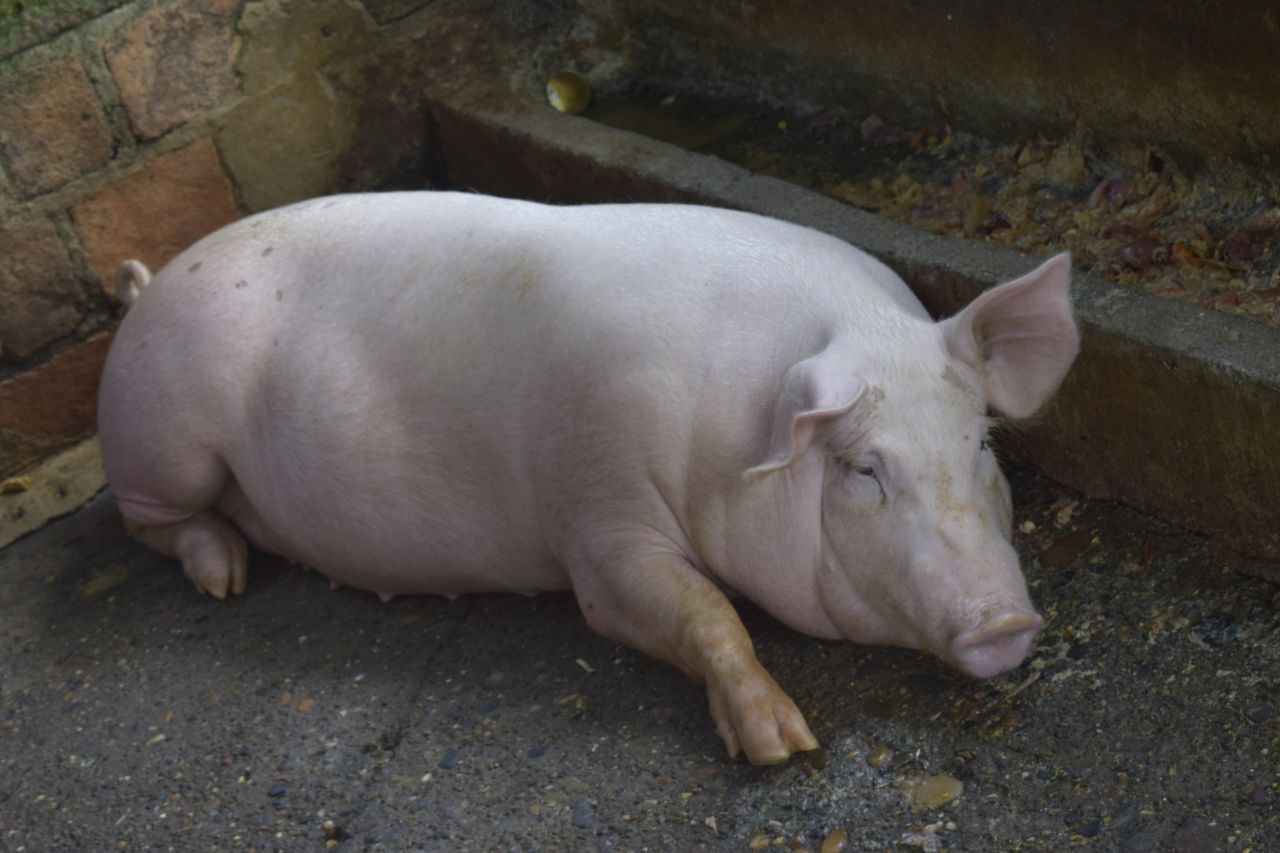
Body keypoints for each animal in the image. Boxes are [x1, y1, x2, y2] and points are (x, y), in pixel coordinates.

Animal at [98, 191, 1078, 764]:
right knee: (147, 518)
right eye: (864, 468)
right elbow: (694, 608)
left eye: (981, 442)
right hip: (166, 437)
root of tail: (148, 288)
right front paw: (785, 744)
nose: (1007, 622)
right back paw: (223, 579)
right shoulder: (599, 515)